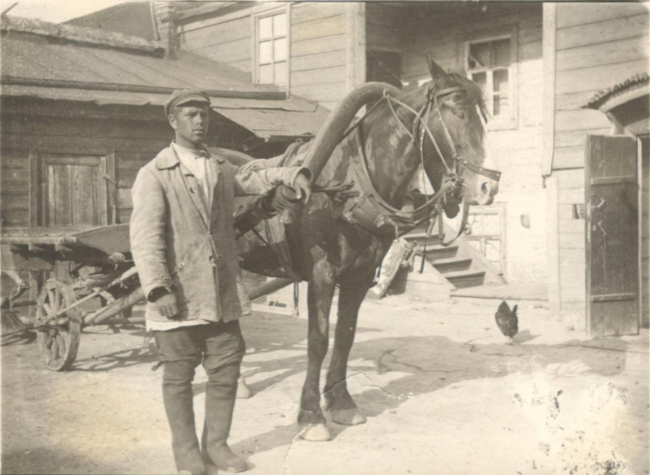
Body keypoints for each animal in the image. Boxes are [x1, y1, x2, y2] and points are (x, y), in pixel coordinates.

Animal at [235, 57, 498, 440]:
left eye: (482, 117)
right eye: (457, 112)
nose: (488, 188)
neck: (350, 186)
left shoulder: (359, 275)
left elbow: (345, 335)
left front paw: (341, 402)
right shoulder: (322, 274)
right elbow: (318, 340)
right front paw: (311, 415)